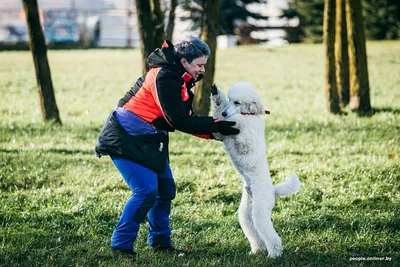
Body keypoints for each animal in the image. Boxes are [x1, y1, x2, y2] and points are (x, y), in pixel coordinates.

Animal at [209, 82, 300, 260]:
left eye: (237, 102)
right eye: (230, 99)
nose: (224, 113)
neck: (249, 114)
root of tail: (273, 190)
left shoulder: (244, 135)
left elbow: (234, 122)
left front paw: (225, 118)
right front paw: (216, 98)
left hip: (260, 210)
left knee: (269, 234)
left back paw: (274, 254)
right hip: (246, 212)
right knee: (254, 230)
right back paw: (257, 250)